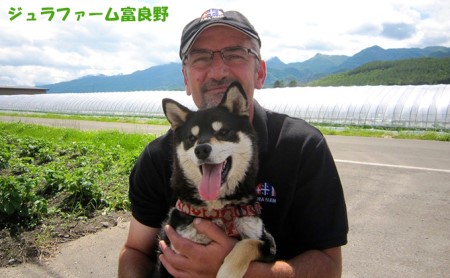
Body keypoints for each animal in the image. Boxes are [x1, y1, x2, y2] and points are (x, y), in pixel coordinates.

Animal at [158, 81, 278, 276]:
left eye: (223, 132)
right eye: (192, 138)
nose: (201, 149)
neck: (218, 210)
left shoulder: (267, 241)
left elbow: (249, 243)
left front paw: (228, 272)